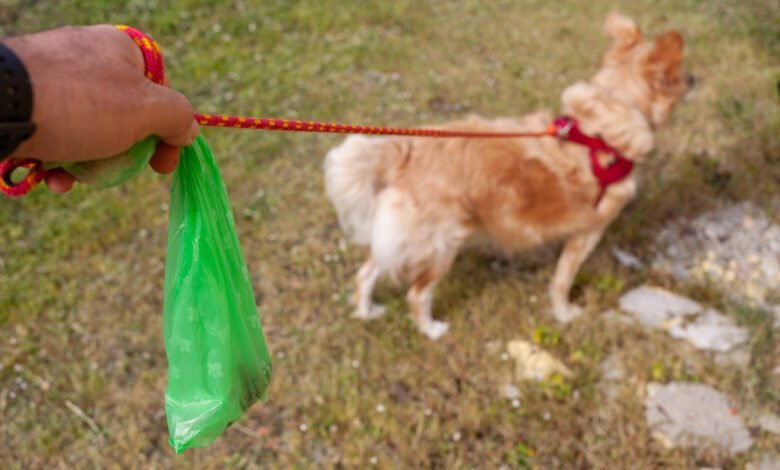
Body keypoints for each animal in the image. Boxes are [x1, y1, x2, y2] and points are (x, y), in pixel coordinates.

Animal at [326, 12, 692, 340]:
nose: (695, 78)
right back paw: (431, 330)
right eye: (682, 74)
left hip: (403, 236)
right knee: (416, 294)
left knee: (366, 272)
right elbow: (562, 280)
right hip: (442, 243)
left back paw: (366, 312)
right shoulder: (588, 231)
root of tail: (403, 150)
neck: (603, 123)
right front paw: (564, 313)